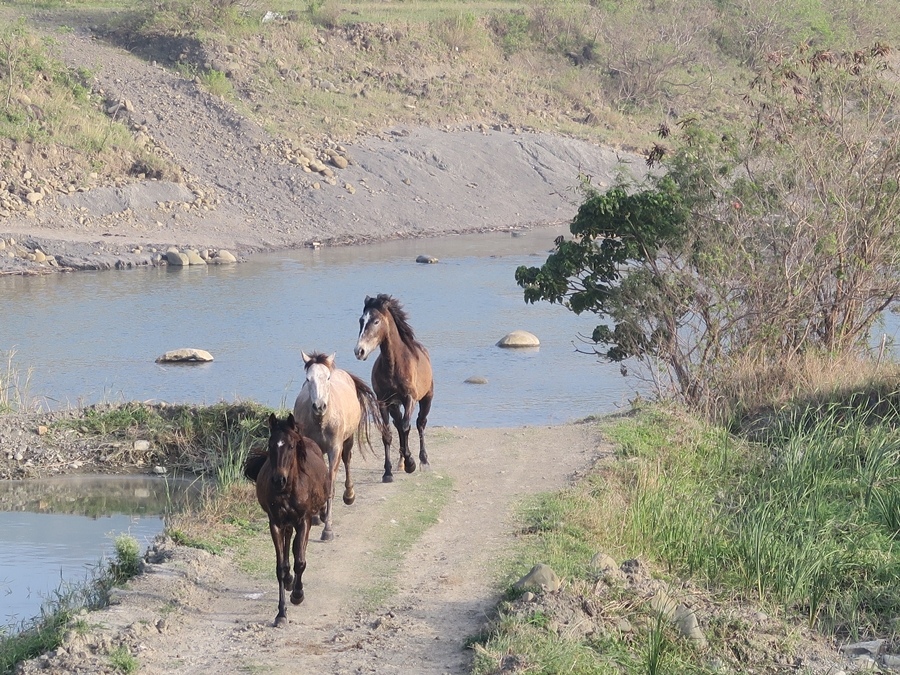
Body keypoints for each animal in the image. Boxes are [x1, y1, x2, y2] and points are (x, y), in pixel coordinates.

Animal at [243, 414, 330, 632]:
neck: (289, 489)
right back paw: (290, 581)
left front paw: (298, 595)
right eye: (270, 444)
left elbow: (300, 560)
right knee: (289, 541)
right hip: (286, 523)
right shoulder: (275, 523)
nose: (278, 480)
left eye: (290, 446)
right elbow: (280, 567)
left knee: (296, 547)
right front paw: (281, 614)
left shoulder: (304, 521)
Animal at [292, 352, 384, 540]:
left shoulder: (334, 448)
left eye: (327, 378)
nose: (319, 406)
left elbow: (330, 484)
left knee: (347, 460)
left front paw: (328, 529)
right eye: (308, 379)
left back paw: (349, 496)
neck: (322, 421)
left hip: (347, 440)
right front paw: (317, 517)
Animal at [354, 294, 434, 484]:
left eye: (376, 321)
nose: (359, 351)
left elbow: (406, 426)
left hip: (427, 398)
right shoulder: (384, 402)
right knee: (398, 425)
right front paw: (388, 472)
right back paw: (401, 462)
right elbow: (388, 434)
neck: (394, 365)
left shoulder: (410, 398)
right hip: (394, 405)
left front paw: (411, 463)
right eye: (361, 320)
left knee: (420, 423)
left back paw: (423, 461)